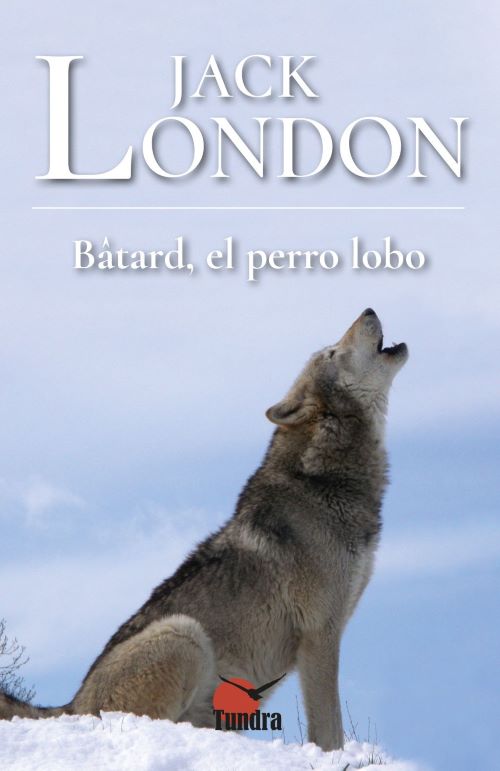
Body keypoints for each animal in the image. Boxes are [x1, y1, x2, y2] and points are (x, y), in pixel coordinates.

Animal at [0, 309, 408, 751]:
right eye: (332, 352)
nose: (368, 310)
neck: (323, 480)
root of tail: (70, 705)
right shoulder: (319, 634)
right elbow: (329, 729)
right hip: (185, 634)